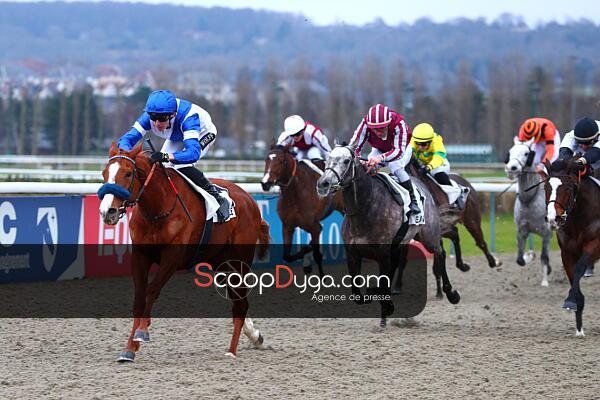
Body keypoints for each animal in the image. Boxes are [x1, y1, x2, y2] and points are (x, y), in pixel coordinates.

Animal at [99, 142, 270, 361]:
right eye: (104, 173)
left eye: (128, 173)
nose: (107, 212)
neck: (157, 209)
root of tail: (251, 202)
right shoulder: (140, 255)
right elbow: (139, 299)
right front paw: (129, 349)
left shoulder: (172, 257)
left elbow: (152, 290)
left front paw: (142, 332)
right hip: (221, 263)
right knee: (238, 299)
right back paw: (254, 336)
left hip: (239, 262)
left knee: (240, 304)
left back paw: (232, 350)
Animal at [261, 144, 345, 276]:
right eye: (266, 159)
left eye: (281, 161)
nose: (265, 183)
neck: (296, 193)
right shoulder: (288, 226)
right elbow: (287, 256)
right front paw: (305, 253)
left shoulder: (313, 226)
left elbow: (317, 255)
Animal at [316, 144, 461, 327]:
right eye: (327, 159)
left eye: (346, 160)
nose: (323, 183)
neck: (364, 207)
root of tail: (420, 183)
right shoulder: (353, 253)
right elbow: (358, 293)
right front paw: (377, 300)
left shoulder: (382, 252)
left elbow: (383, 282)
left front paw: (386, 309)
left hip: (428, 236)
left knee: (440, 253)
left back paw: (451, 293)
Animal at [504, 137, 553, 287]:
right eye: (510, 152)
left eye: (526, 153)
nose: (511, 168)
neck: (530, 198)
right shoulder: (522, 230)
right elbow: (520, 259)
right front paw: (529, 256)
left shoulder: (546, 232)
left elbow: (544, 257)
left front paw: (545, 281)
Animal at [543, 158, 600, 336]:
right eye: (546, 187)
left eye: (567, 188)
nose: (553, 218)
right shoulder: (567, 252)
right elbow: (573, 275)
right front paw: (578, 325)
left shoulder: (594, 245)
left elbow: (580, 267)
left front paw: (570, 301)